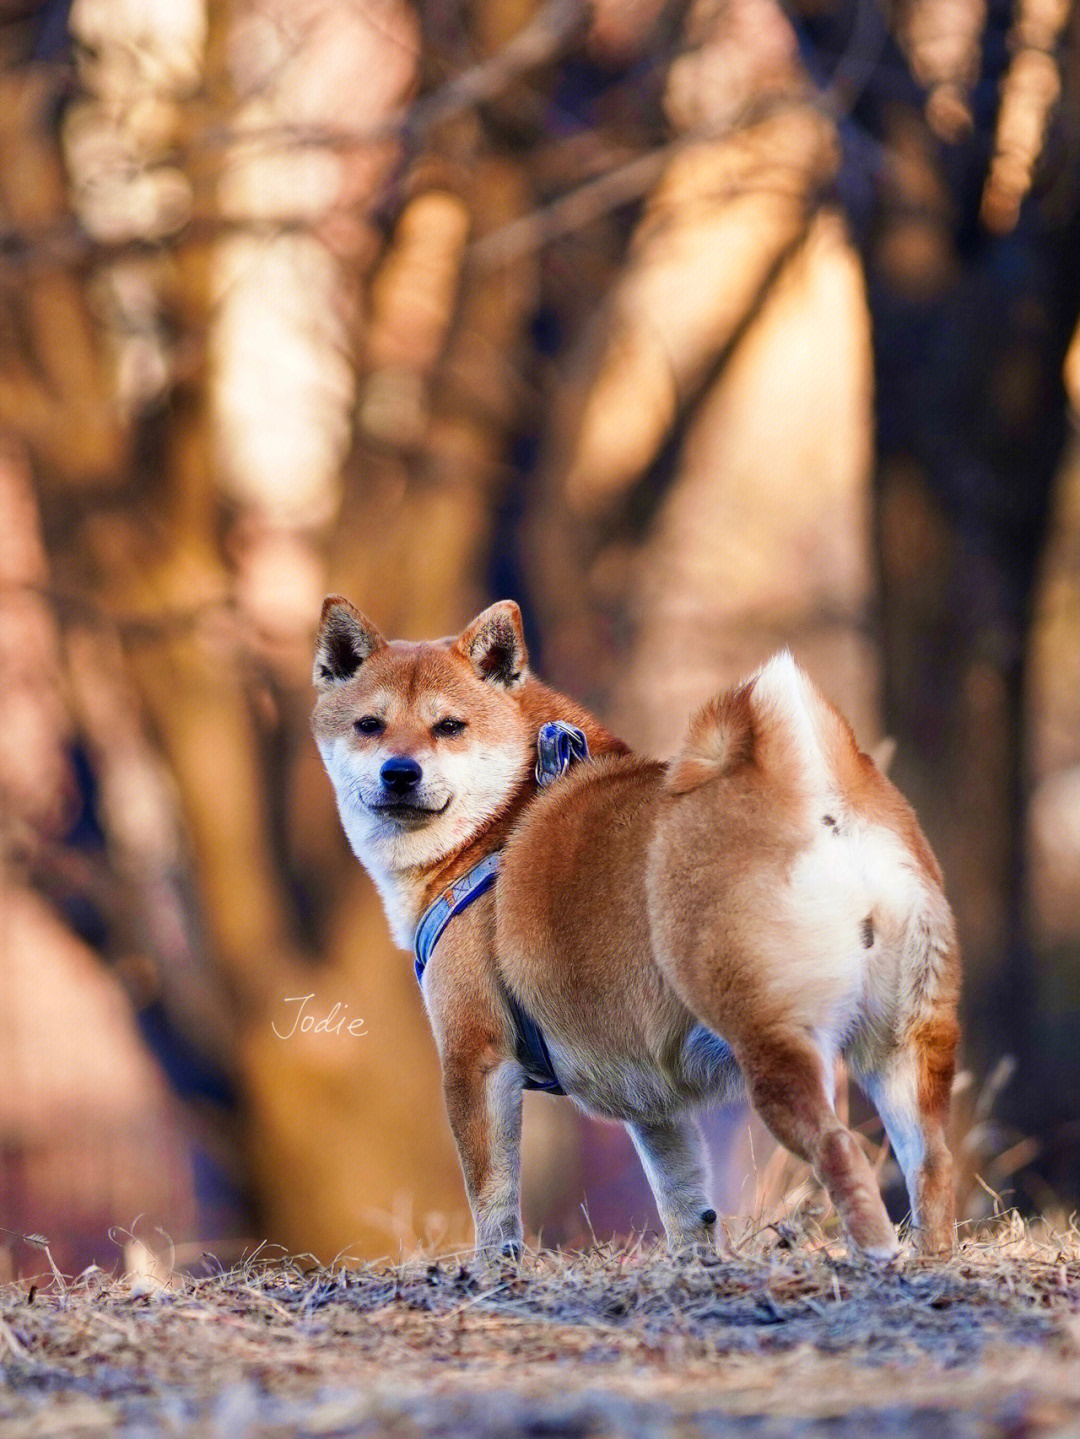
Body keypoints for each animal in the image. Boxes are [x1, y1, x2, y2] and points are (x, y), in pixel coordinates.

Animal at [312, 595, 960, 1260]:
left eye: (449, 726)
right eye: (369, 725)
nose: (399, 772)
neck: (502, 822)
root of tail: (816, 804)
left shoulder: (475, 1053)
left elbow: (491, 1197)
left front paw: (496, 1269)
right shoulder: (653, 1103)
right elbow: (685, 1205)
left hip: (773, 1044)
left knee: (840, 1147)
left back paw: (877, 1257)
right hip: (904, 1048)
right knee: (932, 1165)